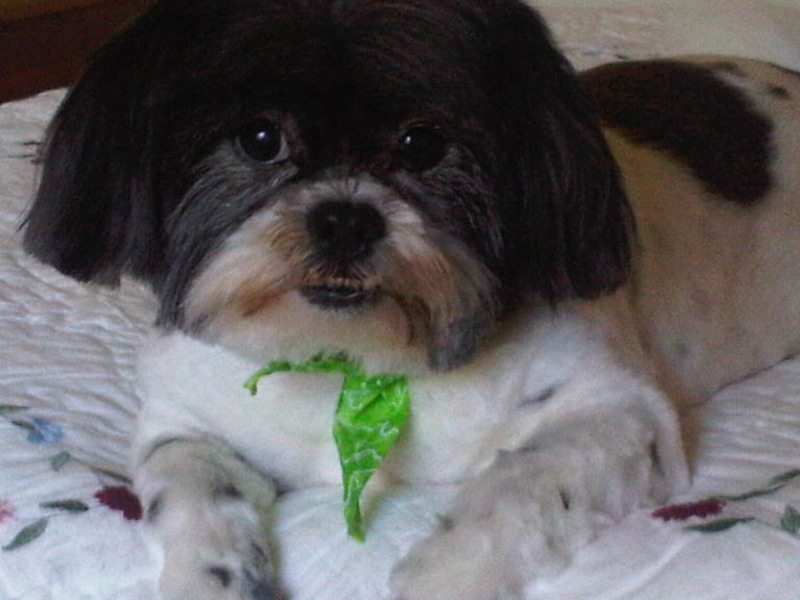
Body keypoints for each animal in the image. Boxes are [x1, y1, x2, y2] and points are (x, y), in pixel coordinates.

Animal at [20, 0, 800, 596]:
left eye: (423, 144)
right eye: (259, 137)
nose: (344, 216)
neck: (350, 367)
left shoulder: (620, 413)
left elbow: (521, 482)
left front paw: (446, 573)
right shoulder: (185, 420)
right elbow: (184, 487)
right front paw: (213, 575)